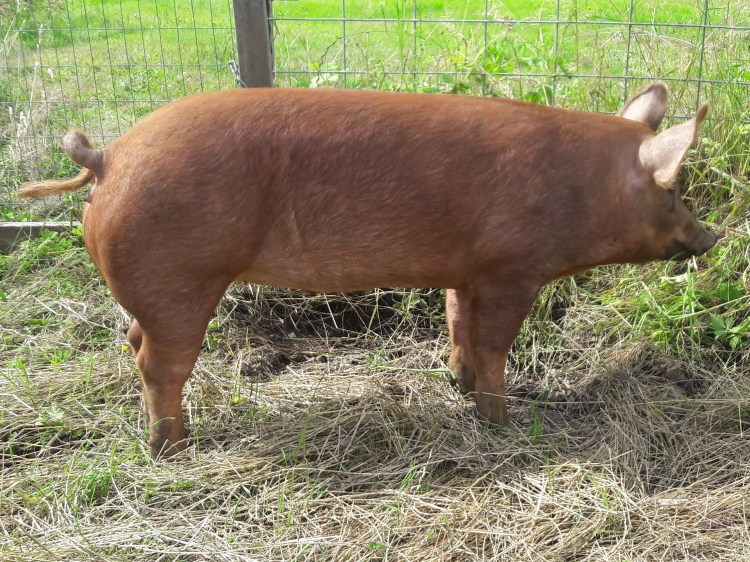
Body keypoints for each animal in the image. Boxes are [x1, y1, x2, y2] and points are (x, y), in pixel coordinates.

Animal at [19, 84, 716, 458]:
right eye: (674, 192)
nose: (711, 235)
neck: (581, 190)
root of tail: (107, 155)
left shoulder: (465, 269)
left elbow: (459, 327)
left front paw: (460, 387)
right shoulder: (509, 269)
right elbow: (493, 344)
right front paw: (503, 420)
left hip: (153, 288)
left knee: (132, 337)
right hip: (180, 280)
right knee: (157, 362)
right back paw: (173, 447)